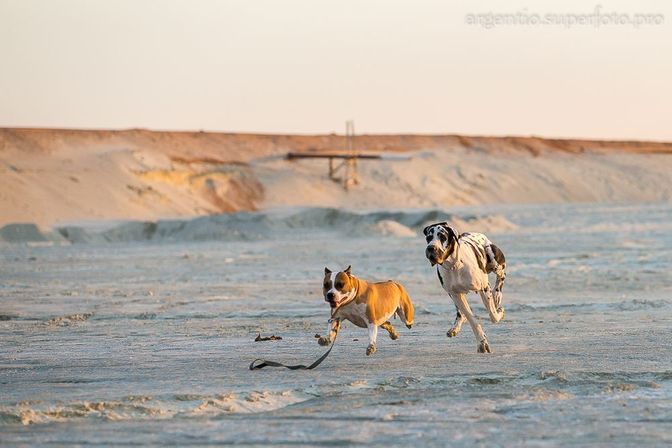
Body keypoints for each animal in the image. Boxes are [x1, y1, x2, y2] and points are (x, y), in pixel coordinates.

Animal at [422, 222, 506, 352]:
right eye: (428, 237)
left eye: (442, 236)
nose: (431, 248)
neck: (454, 265)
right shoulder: (455, 294)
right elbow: (470, 318)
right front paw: (482, 343)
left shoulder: (484, 288)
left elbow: (493, 315)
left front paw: (499, 312)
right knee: (460, 312)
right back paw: (455, 327)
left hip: (494, 259)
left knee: (502, 275)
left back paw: (497, 294)